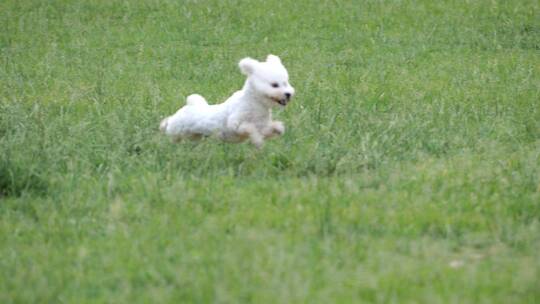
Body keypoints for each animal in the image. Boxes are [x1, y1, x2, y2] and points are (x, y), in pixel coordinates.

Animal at [160, 55, 296, 150]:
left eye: (286, 82)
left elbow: (272, 128)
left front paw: (277, 130)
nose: (288, 94)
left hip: (193, 135)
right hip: (176, 128)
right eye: (274, 85)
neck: (253, 103)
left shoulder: (262, 125)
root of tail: (191, 105)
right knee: (170, 126)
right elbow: (249, 128)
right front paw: (257, 141)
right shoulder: (235, 124)